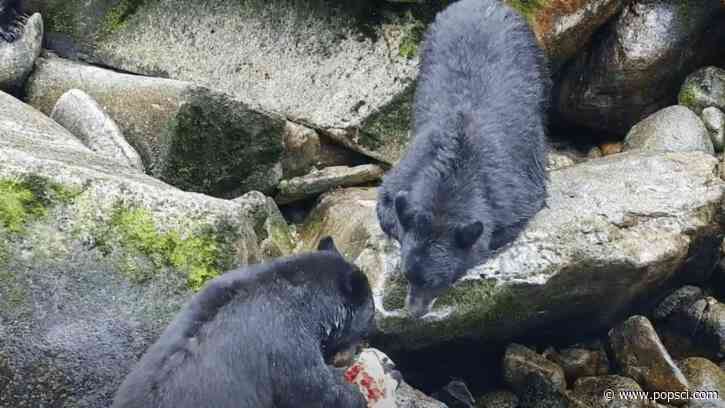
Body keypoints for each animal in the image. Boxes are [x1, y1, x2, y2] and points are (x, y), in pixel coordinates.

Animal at [376, 0, 550, 317]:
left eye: (436, 280)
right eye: (407, 275)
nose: (413, 312)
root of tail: (480, 3)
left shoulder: (509, 190)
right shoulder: (414, 162)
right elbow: (388, 202)